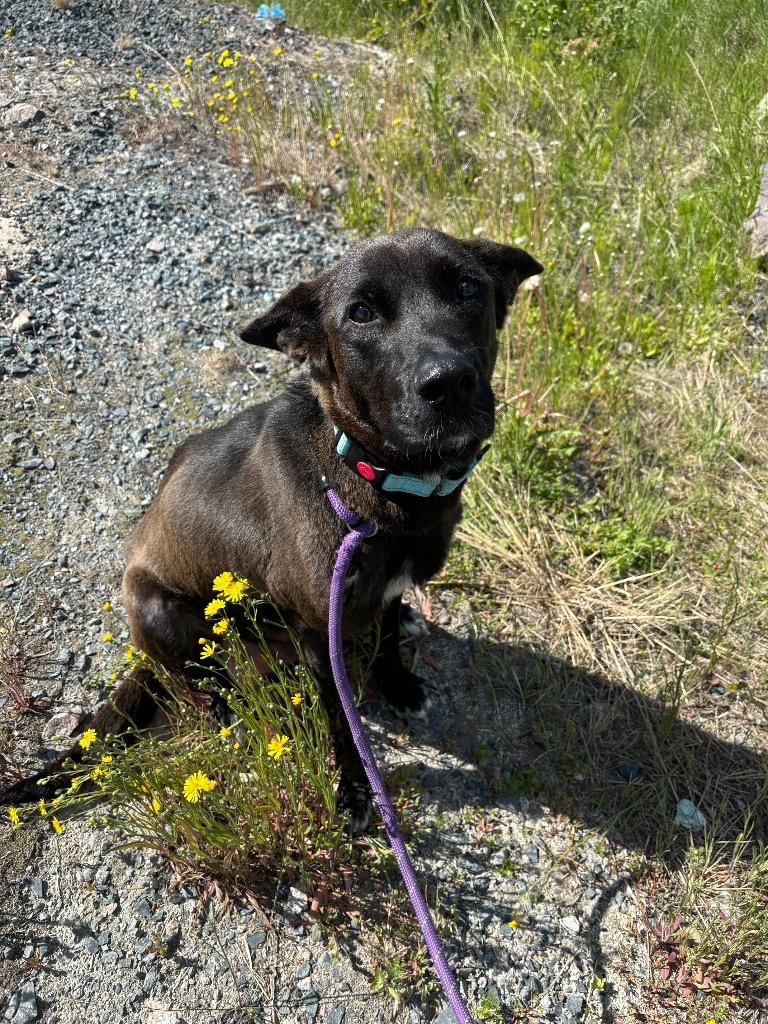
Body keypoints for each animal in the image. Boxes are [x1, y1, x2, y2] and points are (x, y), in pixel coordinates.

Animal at [3, 228, 540, 827]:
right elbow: (343, 724)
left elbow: (384, 640)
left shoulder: (383, 592)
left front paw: (398, 684)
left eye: (468, 287)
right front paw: (355, 790)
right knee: (187, 678)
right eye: (361, 312)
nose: (447, 382)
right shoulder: (319, 636)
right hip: (153, 606)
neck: (373, 479)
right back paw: (218, 708)